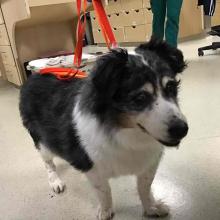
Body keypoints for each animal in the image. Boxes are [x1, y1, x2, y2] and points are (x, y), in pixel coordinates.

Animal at [19, 38, 187, 219]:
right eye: (140, 98)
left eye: (171, 87)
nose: (182, 130)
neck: (126, 131)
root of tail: (35, 76)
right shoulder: (93, 168)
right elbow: (104, 192)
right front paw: (106, 211)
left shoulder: (149, 163)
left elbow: (144, 187)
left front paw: (151, 208)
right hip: (42, 142)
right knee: (48, 162)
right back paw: (55, 181)